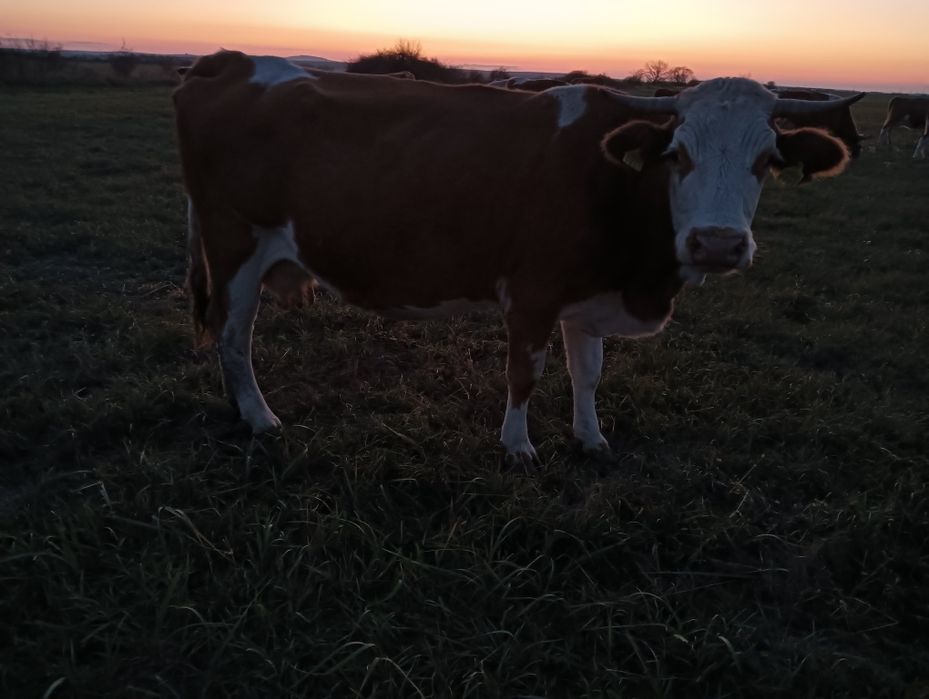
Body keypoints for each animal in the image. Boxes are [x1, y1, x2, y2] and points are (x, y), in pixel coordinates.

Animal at [174, 51, 857, 467]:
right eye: (678, 154)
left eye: (766, 160)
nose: (717, 243)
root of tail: (232, 61)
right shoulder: (532, 293)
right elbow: (524, 373)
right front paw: (517, 447)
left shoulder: (587, 295)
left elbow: (588, 373)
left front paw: (590, 437)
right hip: (235, 249)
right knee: (234, 339)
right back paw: (259, 417)